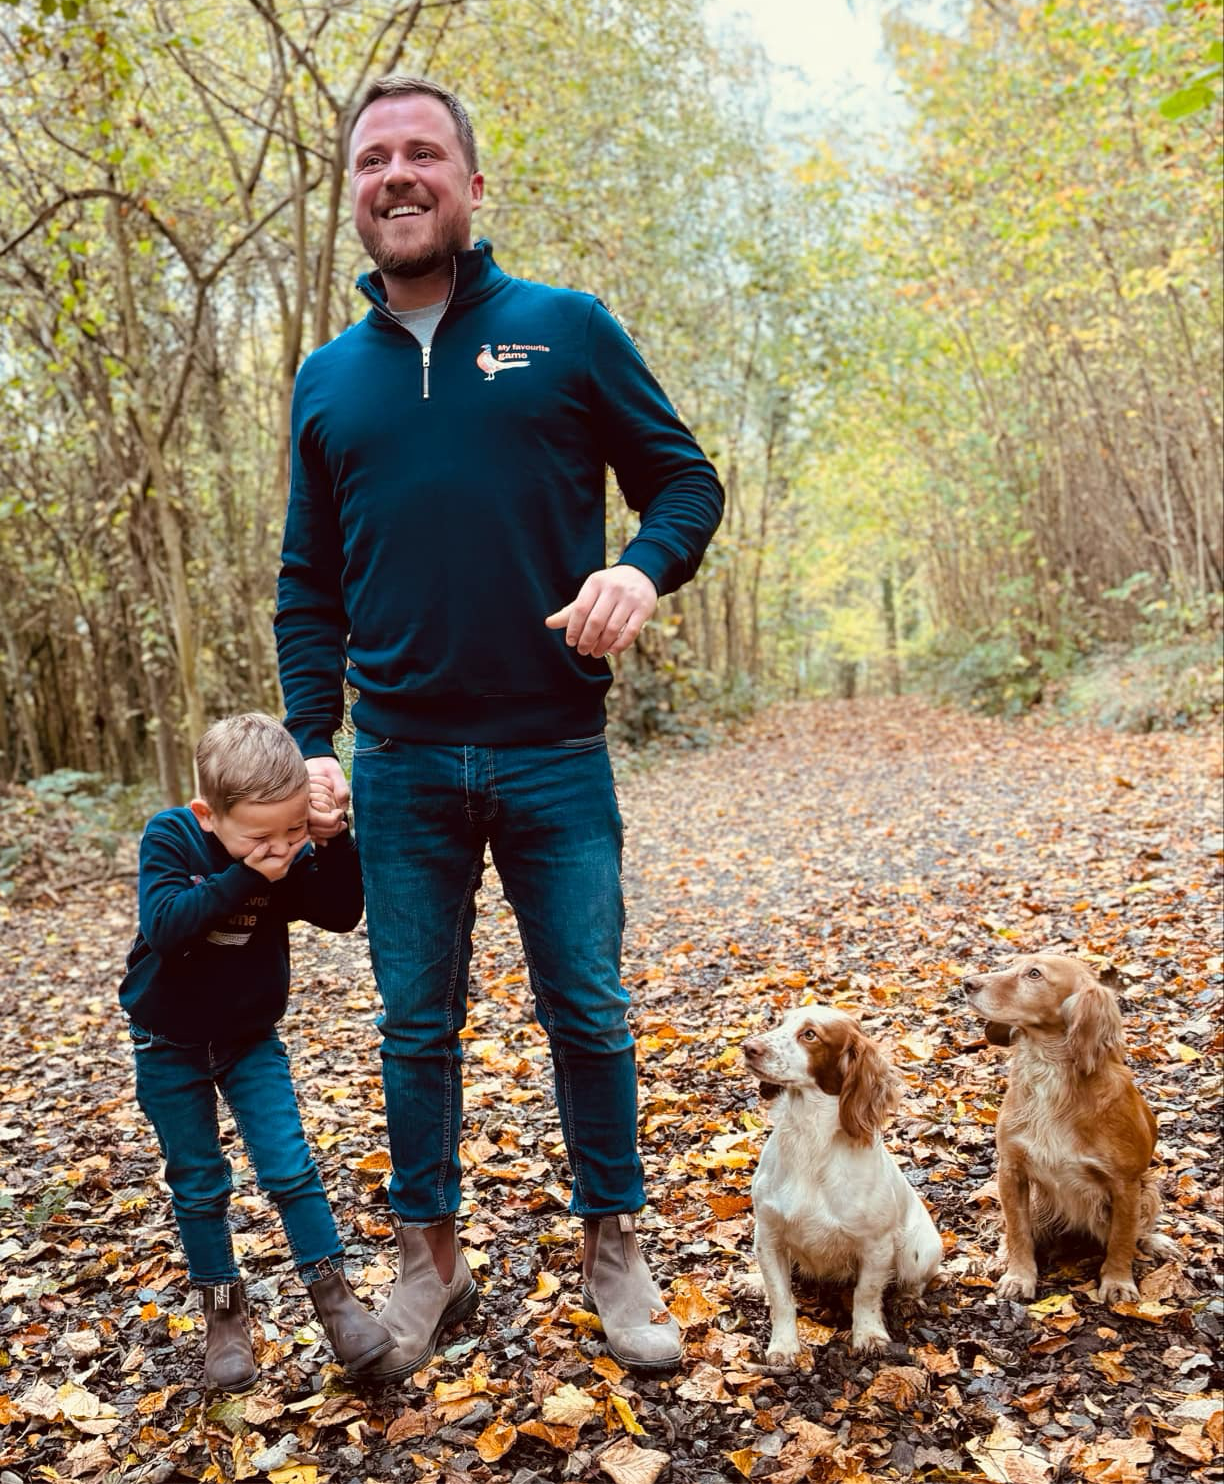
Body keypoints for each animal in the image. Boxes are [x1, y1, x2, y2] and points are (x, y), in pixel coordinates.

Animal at [741, 1006, 942, 1361]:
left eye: (810, 1034)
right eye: (781, 1022)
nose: (749, 1047)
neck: (810, 1141)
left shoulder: (876, 1244)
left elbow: (866, 1294)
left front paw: (869, 1336)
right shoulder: (768, 1235)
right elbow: (781, 1298)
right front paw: (783, 1347)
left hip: (918, 1248)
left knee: (915, 1279)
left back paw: (907, 1300)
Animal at [964, 952, 1176, 1303]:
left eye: (1034, 974)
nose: (967, 983)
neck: (1050, 1072)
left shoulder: (1126, 1185)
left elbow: (1122, 1239)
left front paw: (1118, 1282)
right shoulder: (1011, 1170)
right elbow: (1017, 1231)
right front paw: (1018, 1276)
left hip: (1149, 1190)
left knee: (1137, 1232)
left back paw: (1156, 1242)